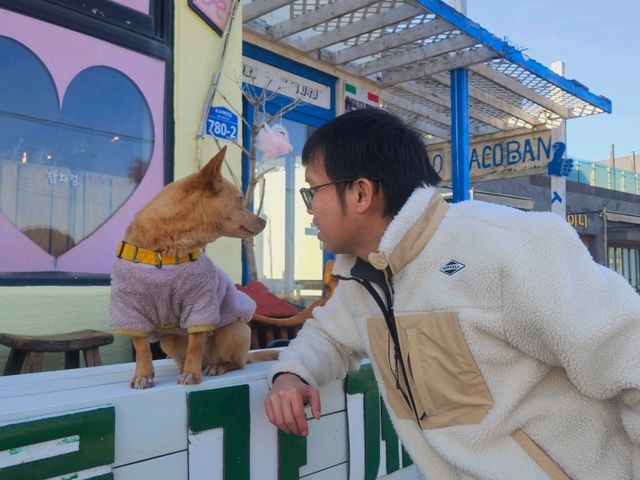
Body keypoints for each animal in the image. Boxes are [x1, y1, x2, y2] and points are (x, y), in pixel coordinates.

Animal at [110, 148, 268, 388]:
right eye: (240, 200)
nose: (264, 221)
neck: (164, 251)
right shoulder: (131, 310)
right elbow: (142, 347)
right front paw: (143, 375)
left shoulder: (200, 304)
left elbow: (195, 343)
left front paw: (191, 375)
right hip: (168, 339)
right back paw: (186, 367)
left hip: (235, 330)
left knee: (234, 362)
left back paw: (216, 366)